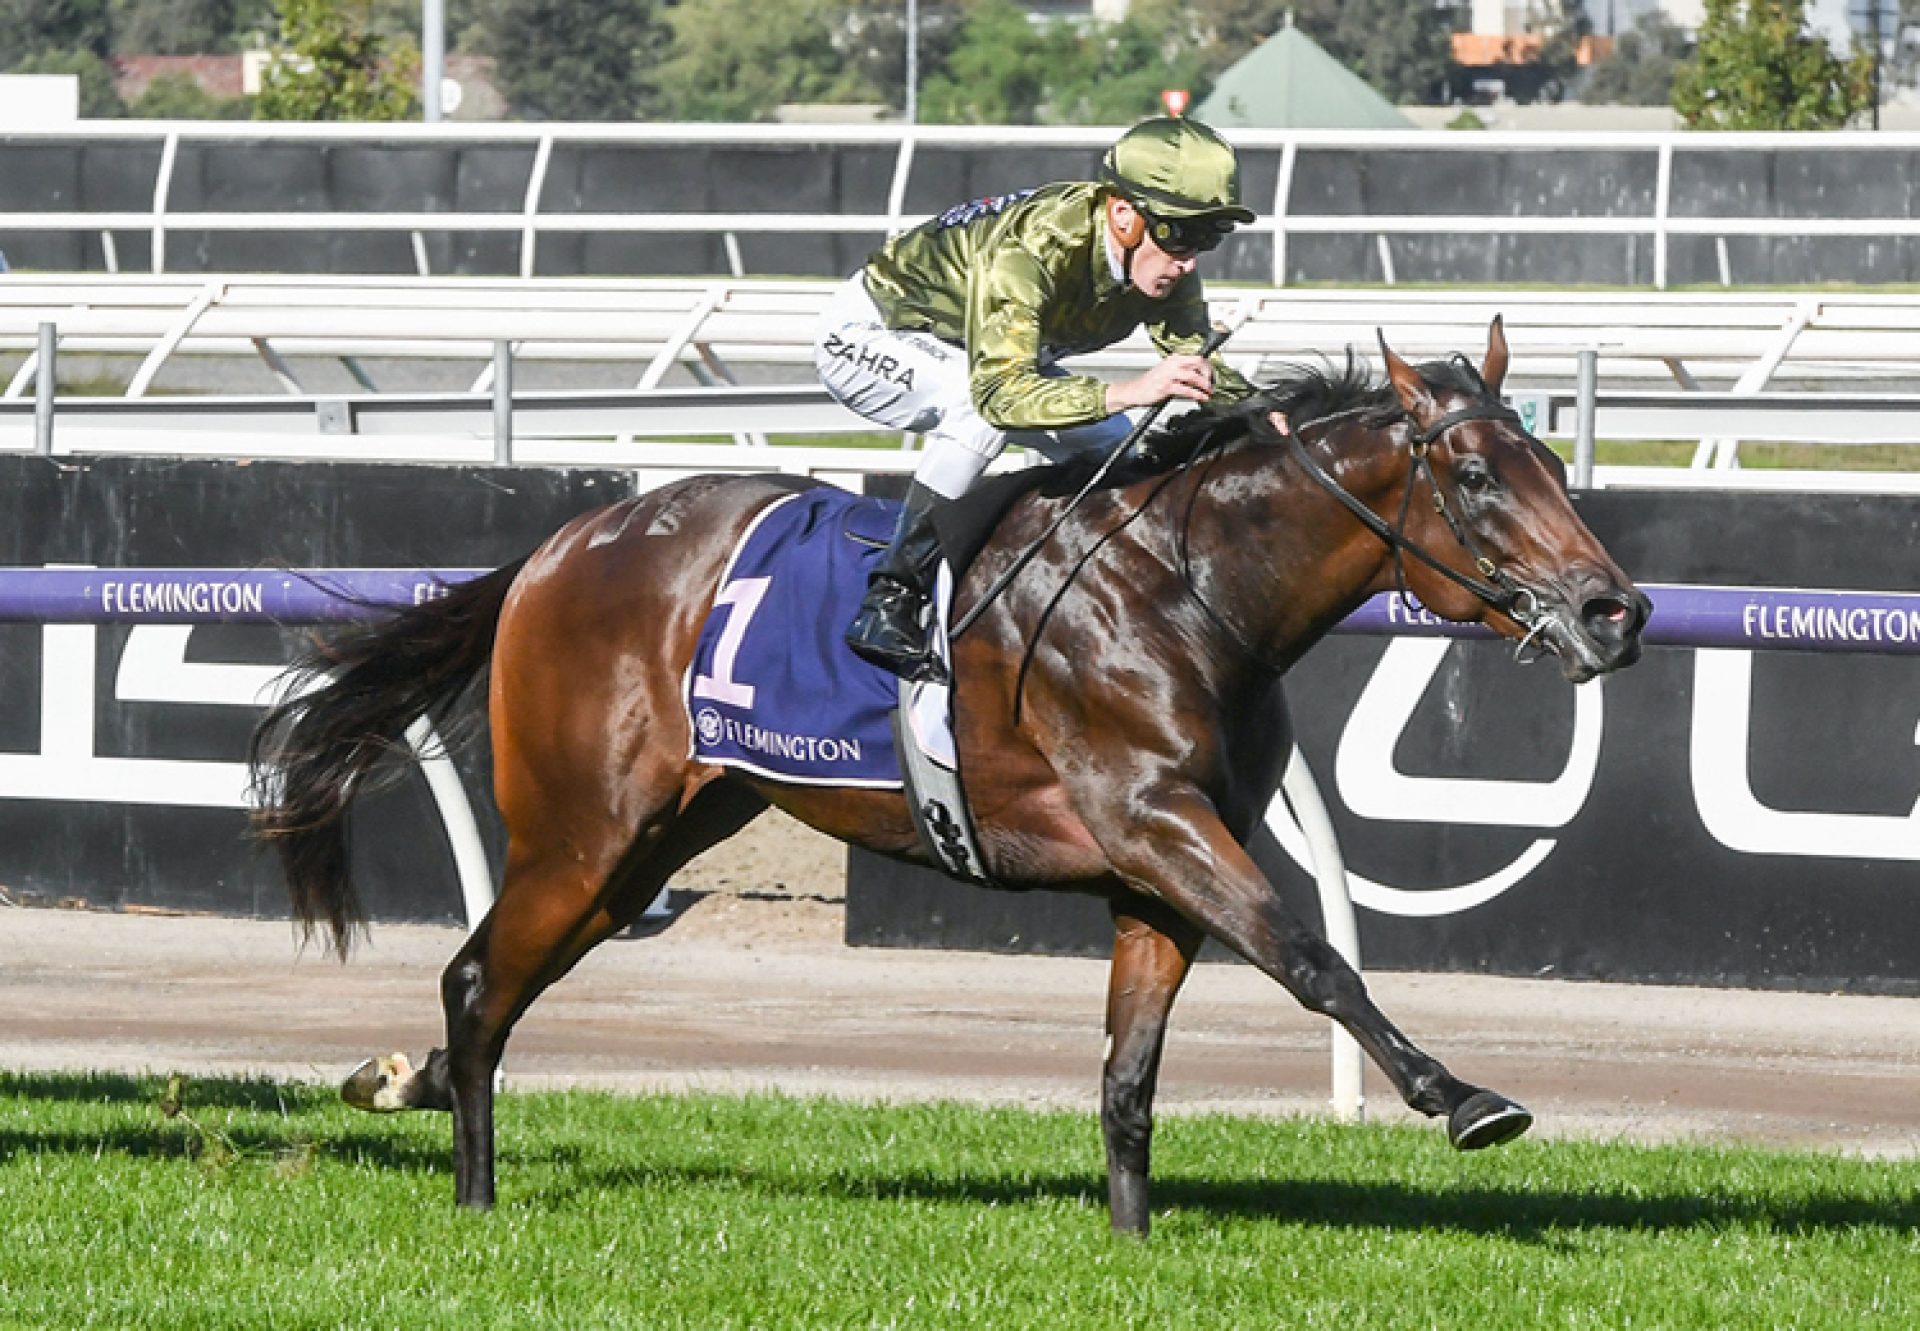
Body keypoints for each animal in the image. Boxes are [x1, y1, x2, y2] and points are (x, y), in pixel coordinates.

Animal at [243, 322, 1651, 1236]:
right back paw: (473, 1191)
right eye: (1476, 474)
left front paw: (1130, 1239)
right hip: (583, 826)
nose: (1617, 609)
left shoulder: (1155, 874)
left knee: (508, 976)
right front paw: (1462, 1098)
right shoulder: (1159, 821)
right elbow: (1315, 958)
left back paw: (413, 1085)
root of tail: (558, 543)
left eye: (1553, 467)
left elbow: (1129, 1075)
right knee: (481, 978)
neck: (1184, 587)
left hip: (659, 837)